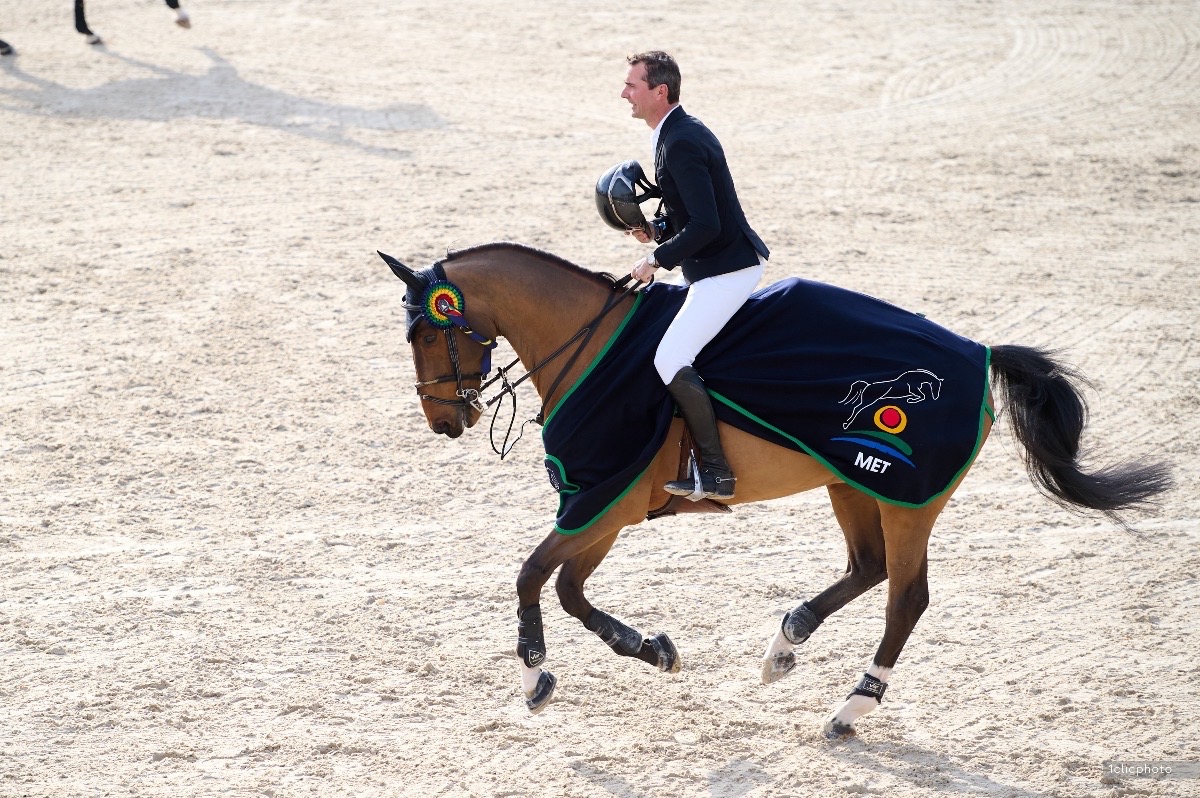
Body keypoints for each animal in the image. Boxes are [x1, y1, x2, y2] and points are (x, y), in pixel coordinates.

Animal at [381, 242, 1172, 735]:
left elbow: (531, 577)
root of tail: (979, 352)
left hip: (908, 499)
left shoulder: (602, 497)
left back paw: (850, 709)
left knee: (905, 599)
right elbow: (571, 589)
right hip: (851, 485)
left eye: (424, 336)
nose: (442, 422)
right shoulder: (609, 508)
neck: (589, 344)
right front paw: (653, 648)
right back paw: (785, 644)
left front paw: (535, 678)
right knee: (867, 567)